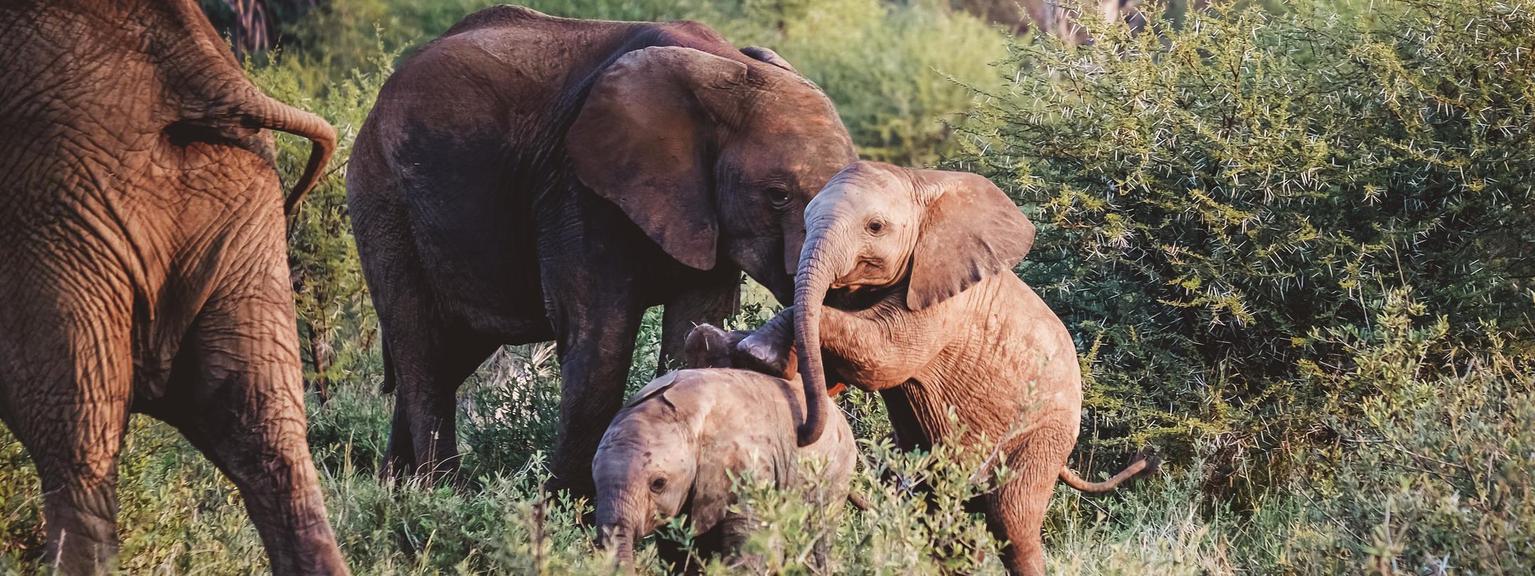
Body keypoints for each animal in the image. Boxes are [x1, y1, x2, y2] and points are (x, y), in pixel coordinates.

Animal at [346, 5, 857, 492]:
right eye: (778, 195)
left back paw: (397, 487)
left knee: (450, 351)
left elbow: (691, 325)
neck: (727, 68)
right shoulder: (577, 187)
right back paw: (439, 494)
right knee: (422, 349)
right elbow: (599, 343)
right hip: (382, 195)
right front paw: (567, 510)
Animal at [592, 330, 857, 570]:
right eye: (595, 482)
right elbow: (676, 552)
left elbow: (749, 548)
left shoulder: (748, 467)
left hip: (835, 473)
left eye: (658, 484)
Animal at [735, 161, 1154, 576]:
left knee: (1013, 525)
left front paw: (757, 352)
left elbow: (883, 356)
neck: (921, 186)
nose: (805, 432)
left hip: (1043, 436)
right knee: (947, 520)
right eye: (805, 223)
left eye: (875, 227)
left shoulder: (946, 302)